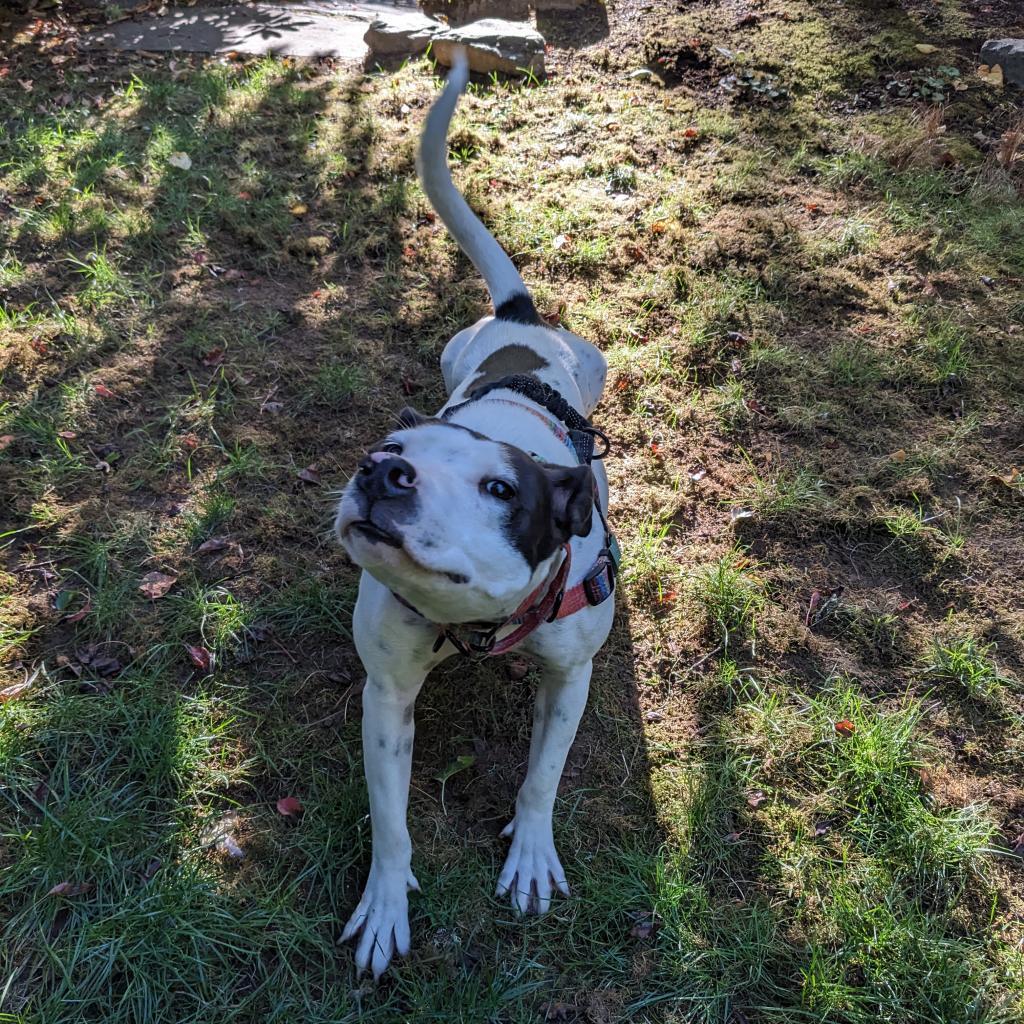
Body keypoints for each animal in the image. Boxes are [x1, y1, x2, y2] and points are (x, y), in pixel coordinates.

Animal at [333, 51, 614, 978]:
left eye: (501, 491)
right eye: (386, 446)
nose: (382, 472)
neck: (478, 621)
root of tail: (517, 320)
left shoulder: (570, 679)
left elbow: (541, 776)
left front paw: (529, 853)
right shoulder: (386, 693)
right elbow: (390, 819)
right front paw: (386, 901)